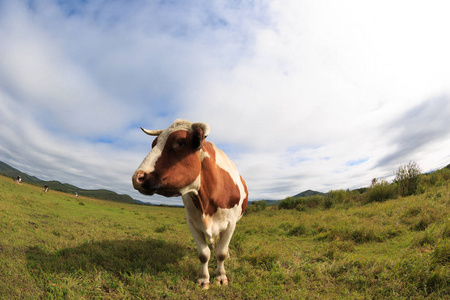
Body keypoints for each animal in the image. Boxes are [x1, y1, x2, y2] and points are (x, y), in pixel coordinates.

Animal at [132, 119, 248, 288]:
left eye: (180, 142)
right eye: (153, 144)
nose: (137, 178)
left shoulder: (231, 223)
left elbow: (221, 253)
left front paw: (221, 276)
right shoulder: (192, 223)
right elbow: (204, 254)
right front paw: (203, 279)